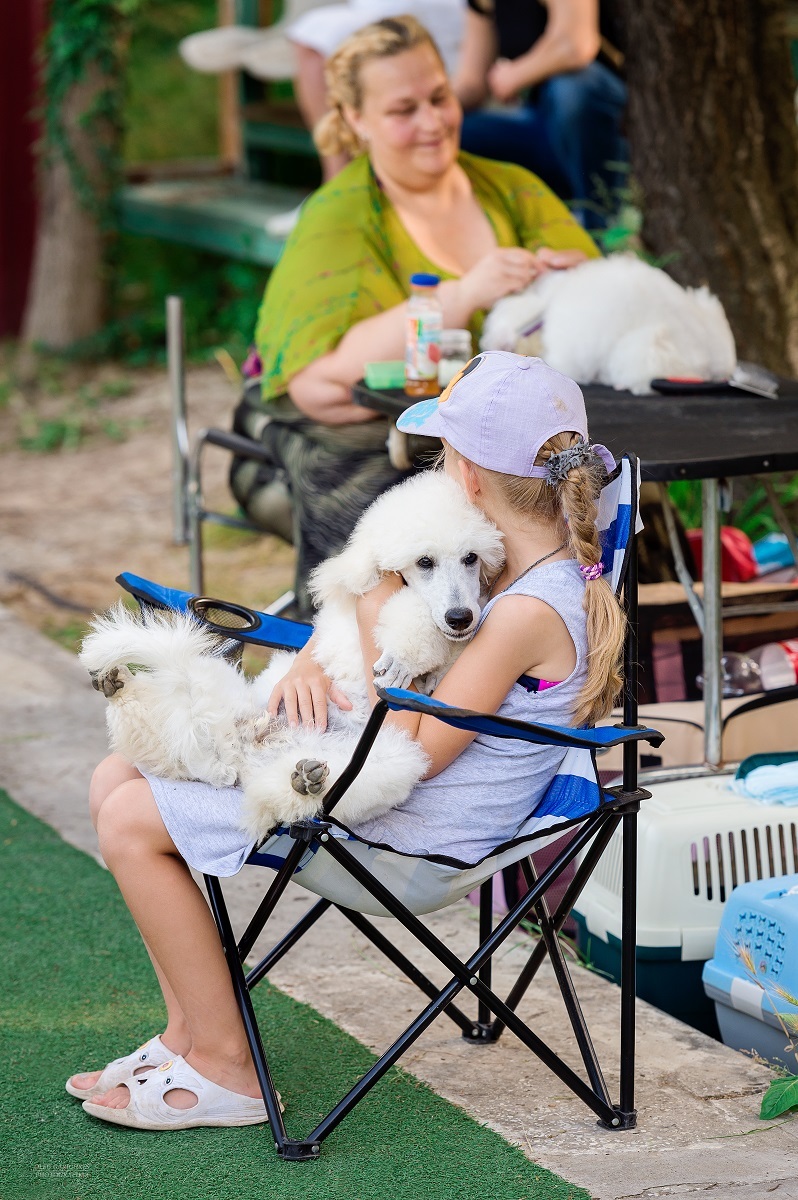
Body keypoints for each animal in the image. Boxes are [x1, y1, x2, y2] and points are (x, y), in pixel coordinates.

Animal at [81, 472, 504, 840]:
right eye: (424, 562)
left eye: (471, 558)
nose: (460, 617)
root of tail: (245, 752)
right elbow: (407, 618)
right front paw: (407, 654)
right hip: (211, 698)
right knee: (178, 747)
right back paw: (121, 689)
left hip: (384, 758)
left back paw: (302, 783)